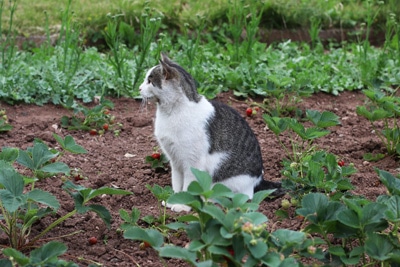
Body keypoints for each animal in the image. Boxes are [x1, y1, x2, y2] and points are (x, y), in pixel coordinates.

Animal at [139, 53, 282, 213]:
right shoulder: (175, 161)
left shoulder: (192, 162)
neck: (171, 112)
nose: (139, 88)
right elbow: (177, 184)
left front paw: (184, 205)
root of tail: (259, 180)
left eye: (150, 81)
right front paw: (174, 200)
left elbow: (188, 186)